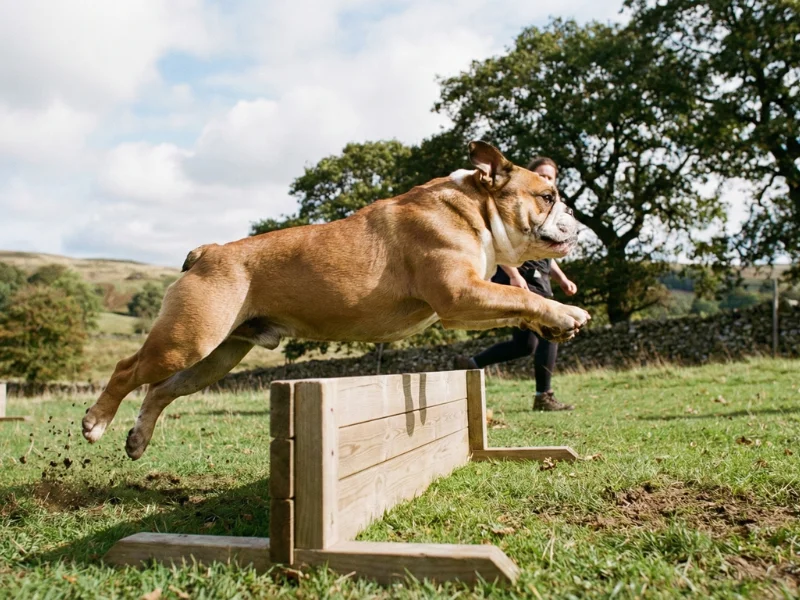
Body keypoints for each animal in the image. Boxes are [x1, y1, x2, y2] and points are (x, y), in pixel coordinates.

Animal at [82, 141, 590, 459]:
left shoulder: (469, 299)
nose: (577, 220)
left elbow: (516, 302)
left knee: (162, 389)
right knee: (129, 370)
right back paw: (96, 422)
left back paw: (137, 440)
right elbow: (517, 294)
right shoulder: (459, 294)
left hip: (216, 355)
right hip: (187, 340)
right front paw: (566, 311)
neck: (475, 209)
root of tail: (209, 251)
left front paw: (554, 322)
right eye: (548, 195)